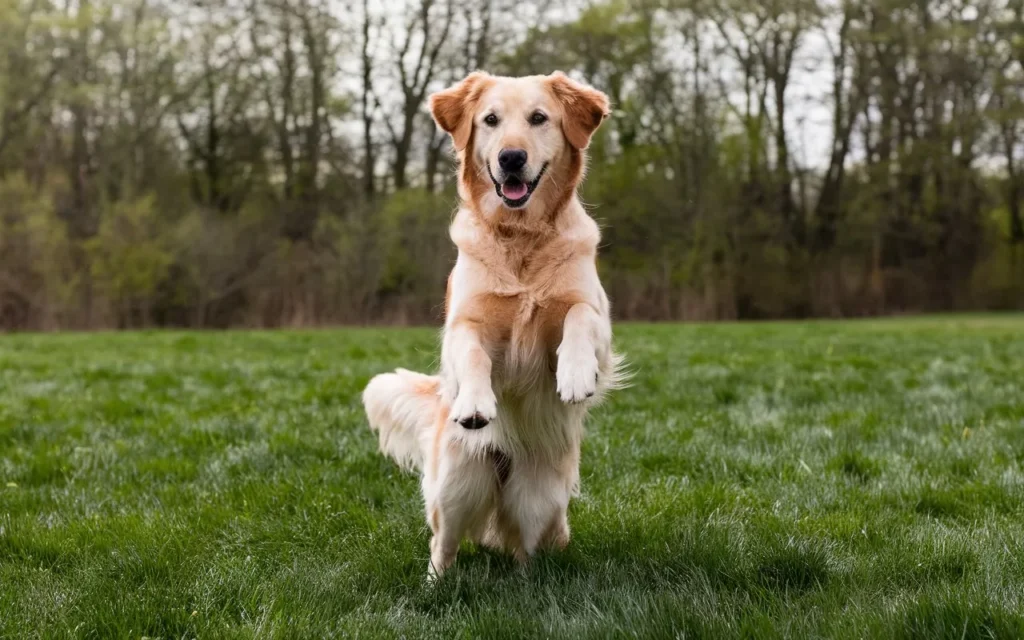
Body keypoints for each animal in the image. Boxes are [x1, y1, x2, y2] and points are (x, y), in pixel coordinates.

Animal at [364, 71, 618, 577]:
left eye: (538, 118)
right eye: (490, 120)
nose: (511, 158)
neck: (520, 236)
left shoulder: (596, 312)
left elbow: (579, 317)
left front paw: (574, 375)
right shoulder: (463, 322)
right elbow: (473, 354)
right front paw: (477, 403)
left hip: (539, 497)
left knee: (526, 546)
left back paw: (529, 581)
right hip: (458, 482)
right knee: (443, 544)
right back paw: (435, 584)